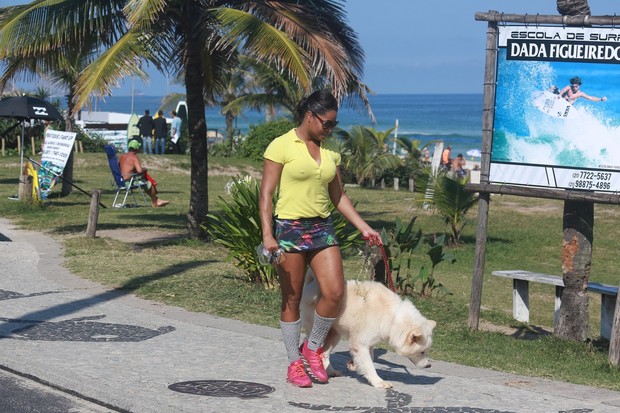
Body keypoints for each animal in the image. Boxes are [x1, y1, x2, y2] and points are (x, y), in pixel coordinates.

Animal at [300, 268, 436, 388]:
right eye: (422, 352)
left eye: (427, 351)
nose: (429, 366)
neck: (392, 318)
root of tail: (311, 285)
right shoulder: (360, 343)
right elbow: (369, 365)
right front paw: (378, 382)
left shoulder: (369, 343)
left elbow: (370, 358)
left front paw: (353, 365)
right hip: (319, 328)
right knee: (310, 343)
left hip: (335, 334)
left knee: (324, 353)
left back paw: (330, 371)